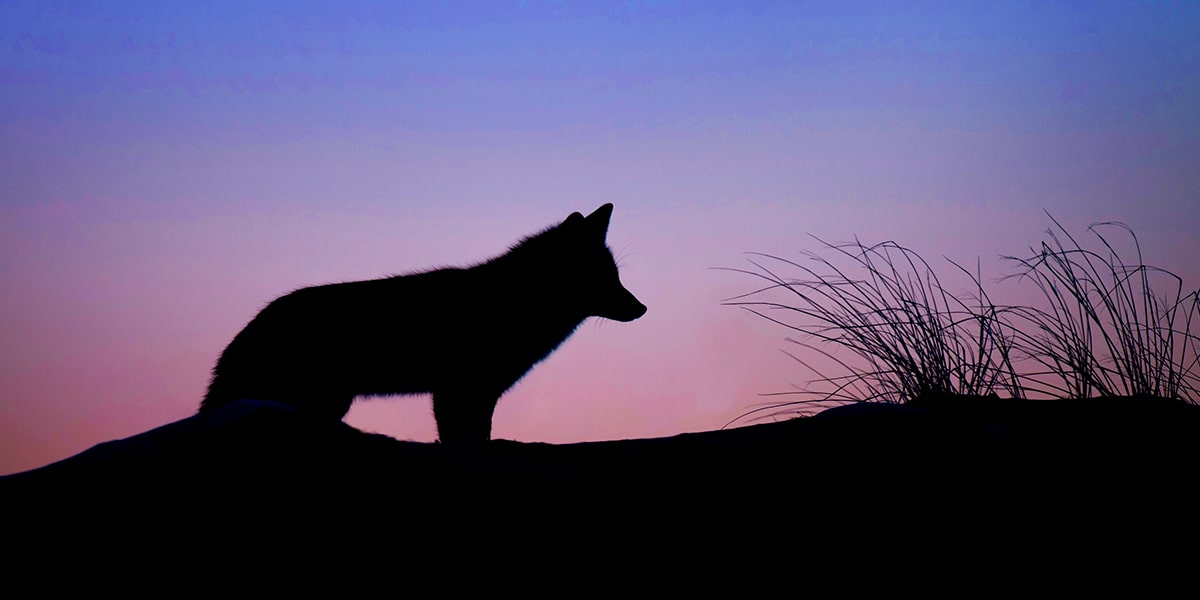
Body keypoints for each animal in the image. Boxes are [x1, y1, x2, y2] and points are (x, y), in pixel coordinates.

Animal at [199, 204, 648, 444]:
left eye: (616, 276)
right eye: (604, 278)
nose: (642, 308)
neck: (514, 302)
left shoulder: (477, 393)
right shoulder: (460, 390)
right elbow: (465, 440)